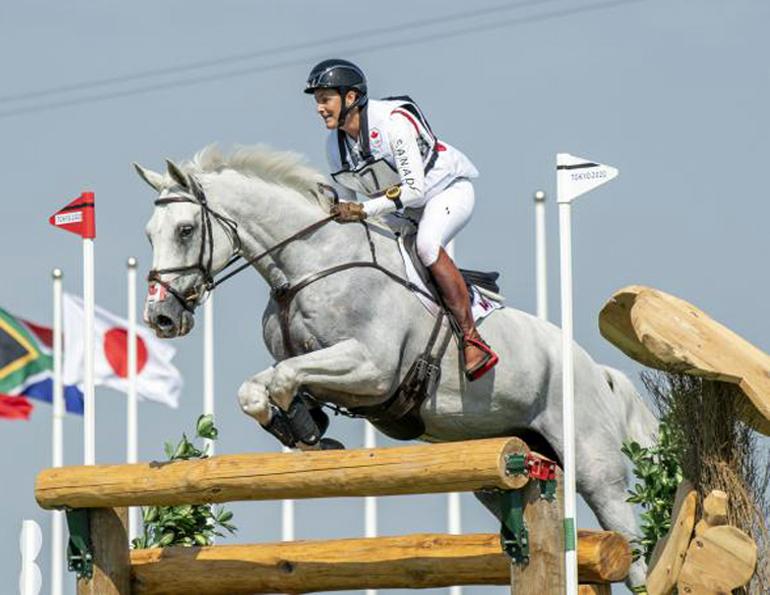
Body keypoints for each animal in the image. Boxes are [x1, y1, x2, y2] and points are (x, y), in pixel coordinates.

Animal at [135, 145, 657, 588]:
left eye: (185, 230)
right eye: (149, 234)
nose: (160, 318)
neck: (308, 266)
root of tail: (597, 370)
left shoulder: (372, 370)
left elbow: (284, 379)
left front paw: (306, 429)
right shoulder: (311, 364)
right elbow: (259, 388)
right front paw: (305, 428)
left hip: (592, 461)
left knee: (631, 548)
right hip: (505, 461)